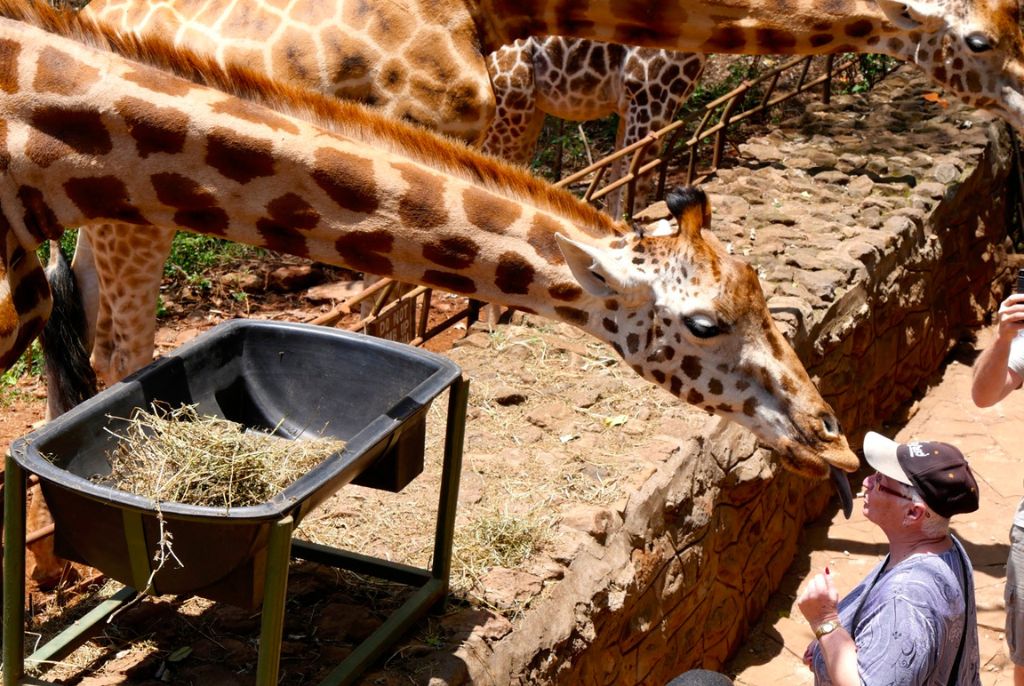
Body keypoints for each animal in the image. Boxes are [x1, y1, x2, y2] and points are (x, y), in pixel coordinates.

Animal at [483, 37, 707, 218]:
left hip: (527, 116)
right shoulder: (650, 96)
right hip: (509, 106)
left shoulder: (629, 108)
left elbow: (618, 179)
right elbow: (635, 182)